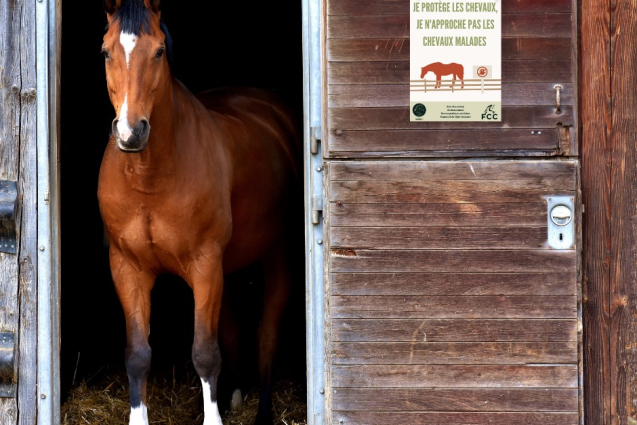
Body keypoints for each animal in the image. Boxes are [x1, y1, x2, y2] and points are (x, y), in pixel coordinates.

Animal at [97, 0, 300, 424]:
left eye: (159, 51)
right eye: (106, 52)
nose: (130, 133)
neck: (150, 178)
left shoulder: (205, 264)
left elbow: (205, 353)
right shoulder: (126, 267)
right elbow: (138, 355)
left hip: (277, 256)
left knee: (267, 336)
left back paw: (262, 413)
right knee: (235, 331)